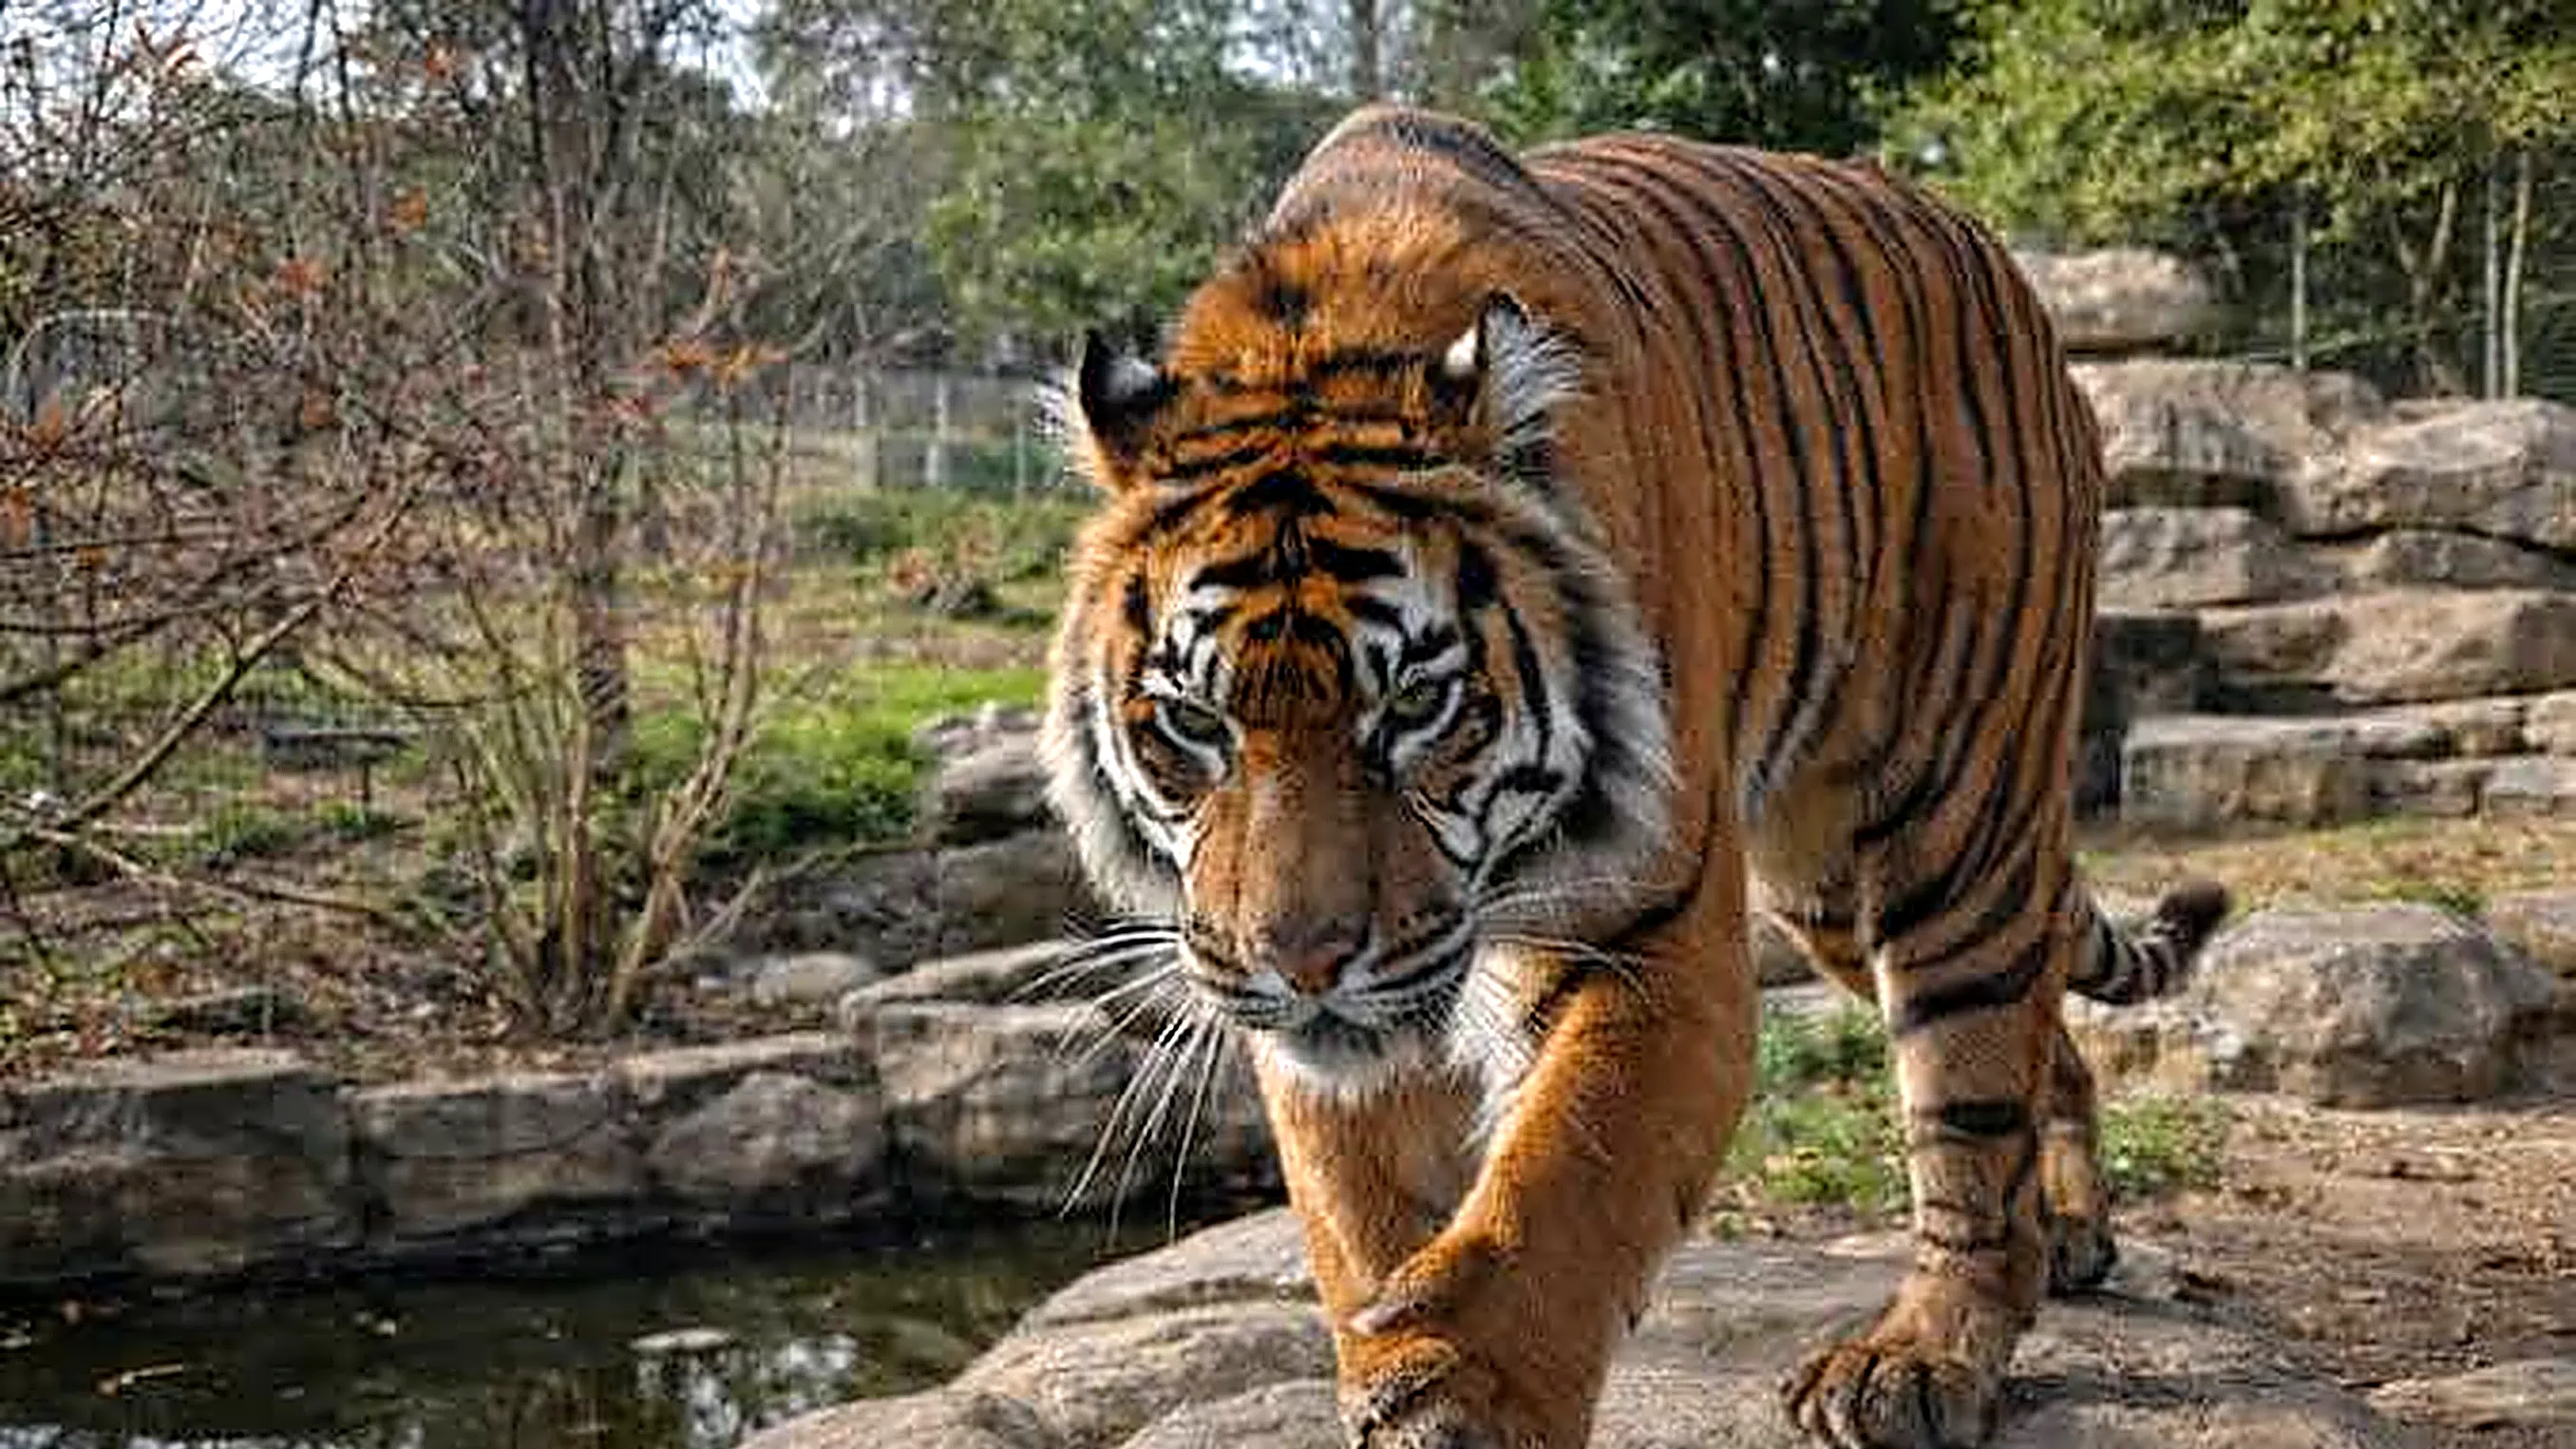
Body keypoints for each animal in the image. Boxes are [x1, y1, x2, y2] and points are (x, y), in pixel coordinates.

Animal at [1042, 104, 2229, 1449]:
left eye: (1415, 706)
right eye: (1193, 725)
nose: (1303, 966)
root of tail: (2002, 268)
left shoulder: (1652, 941)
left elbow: (1553, 1204)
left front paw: (1463, 1398)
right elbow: (1362, 1216)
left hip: (1953, 807)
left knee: (1975, 1083)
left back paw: (1922, 1357)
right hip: (1827, 884)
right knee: (2037, 1032)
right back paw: (2069, 1230)